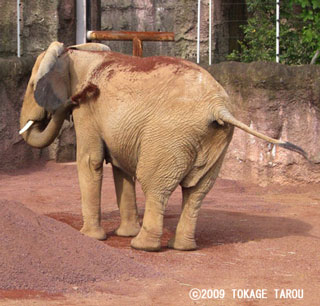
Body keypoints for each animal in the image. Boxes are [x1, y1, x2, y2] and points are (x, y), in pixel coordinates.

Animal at [19, 40, 308, 251]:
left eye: (32, 85)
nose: (82, 95)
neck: (76, 53)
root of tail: (218, 107)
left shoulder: (88, 113)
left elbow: (91, 162)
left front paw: (90, 237)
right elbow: (120, 167)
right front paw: (122, 233)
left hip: (169, 135)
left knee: (155, 185)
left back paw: (143, 246)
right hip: (216, 140)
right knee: (197, 191)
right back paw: (182, 247)